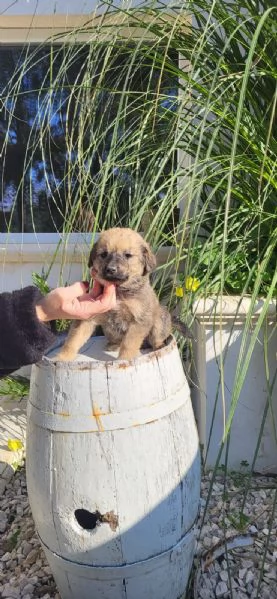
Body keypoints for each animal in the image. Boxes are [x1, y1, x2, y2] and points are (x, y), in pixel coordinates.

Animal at [56, 227, 170, 360]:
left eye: (128, 255)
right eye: (104, 254)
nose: (111, 269)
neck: (118, 291)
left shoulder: (139, 320)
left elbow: (128, 344)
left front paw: (125, 360)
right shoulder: (88, 317)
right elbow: (73, 339)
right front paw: (62, 357)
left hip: (160, 319)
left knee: (157, 337)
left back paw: (159, 346)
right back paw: (113, 345)